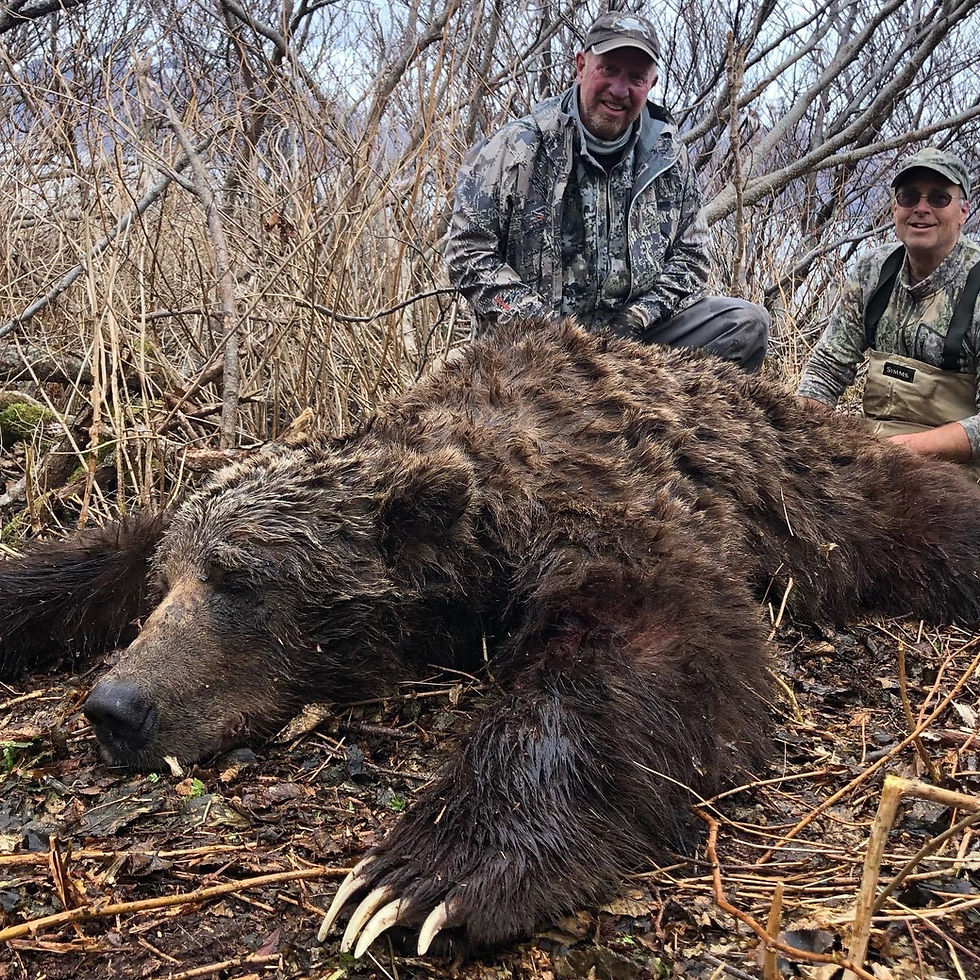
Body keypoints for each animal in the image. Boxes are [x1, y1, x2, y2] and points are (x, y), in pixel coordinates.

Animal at [2, 319, 980, 958]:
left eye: (243, 581)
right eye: (172, 584)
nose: (115, 706)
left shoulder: (613, 511)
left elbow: (643, 646)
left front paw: (419, 879)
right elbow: (92, 558)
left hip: (836, 491)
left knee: (929, 518)